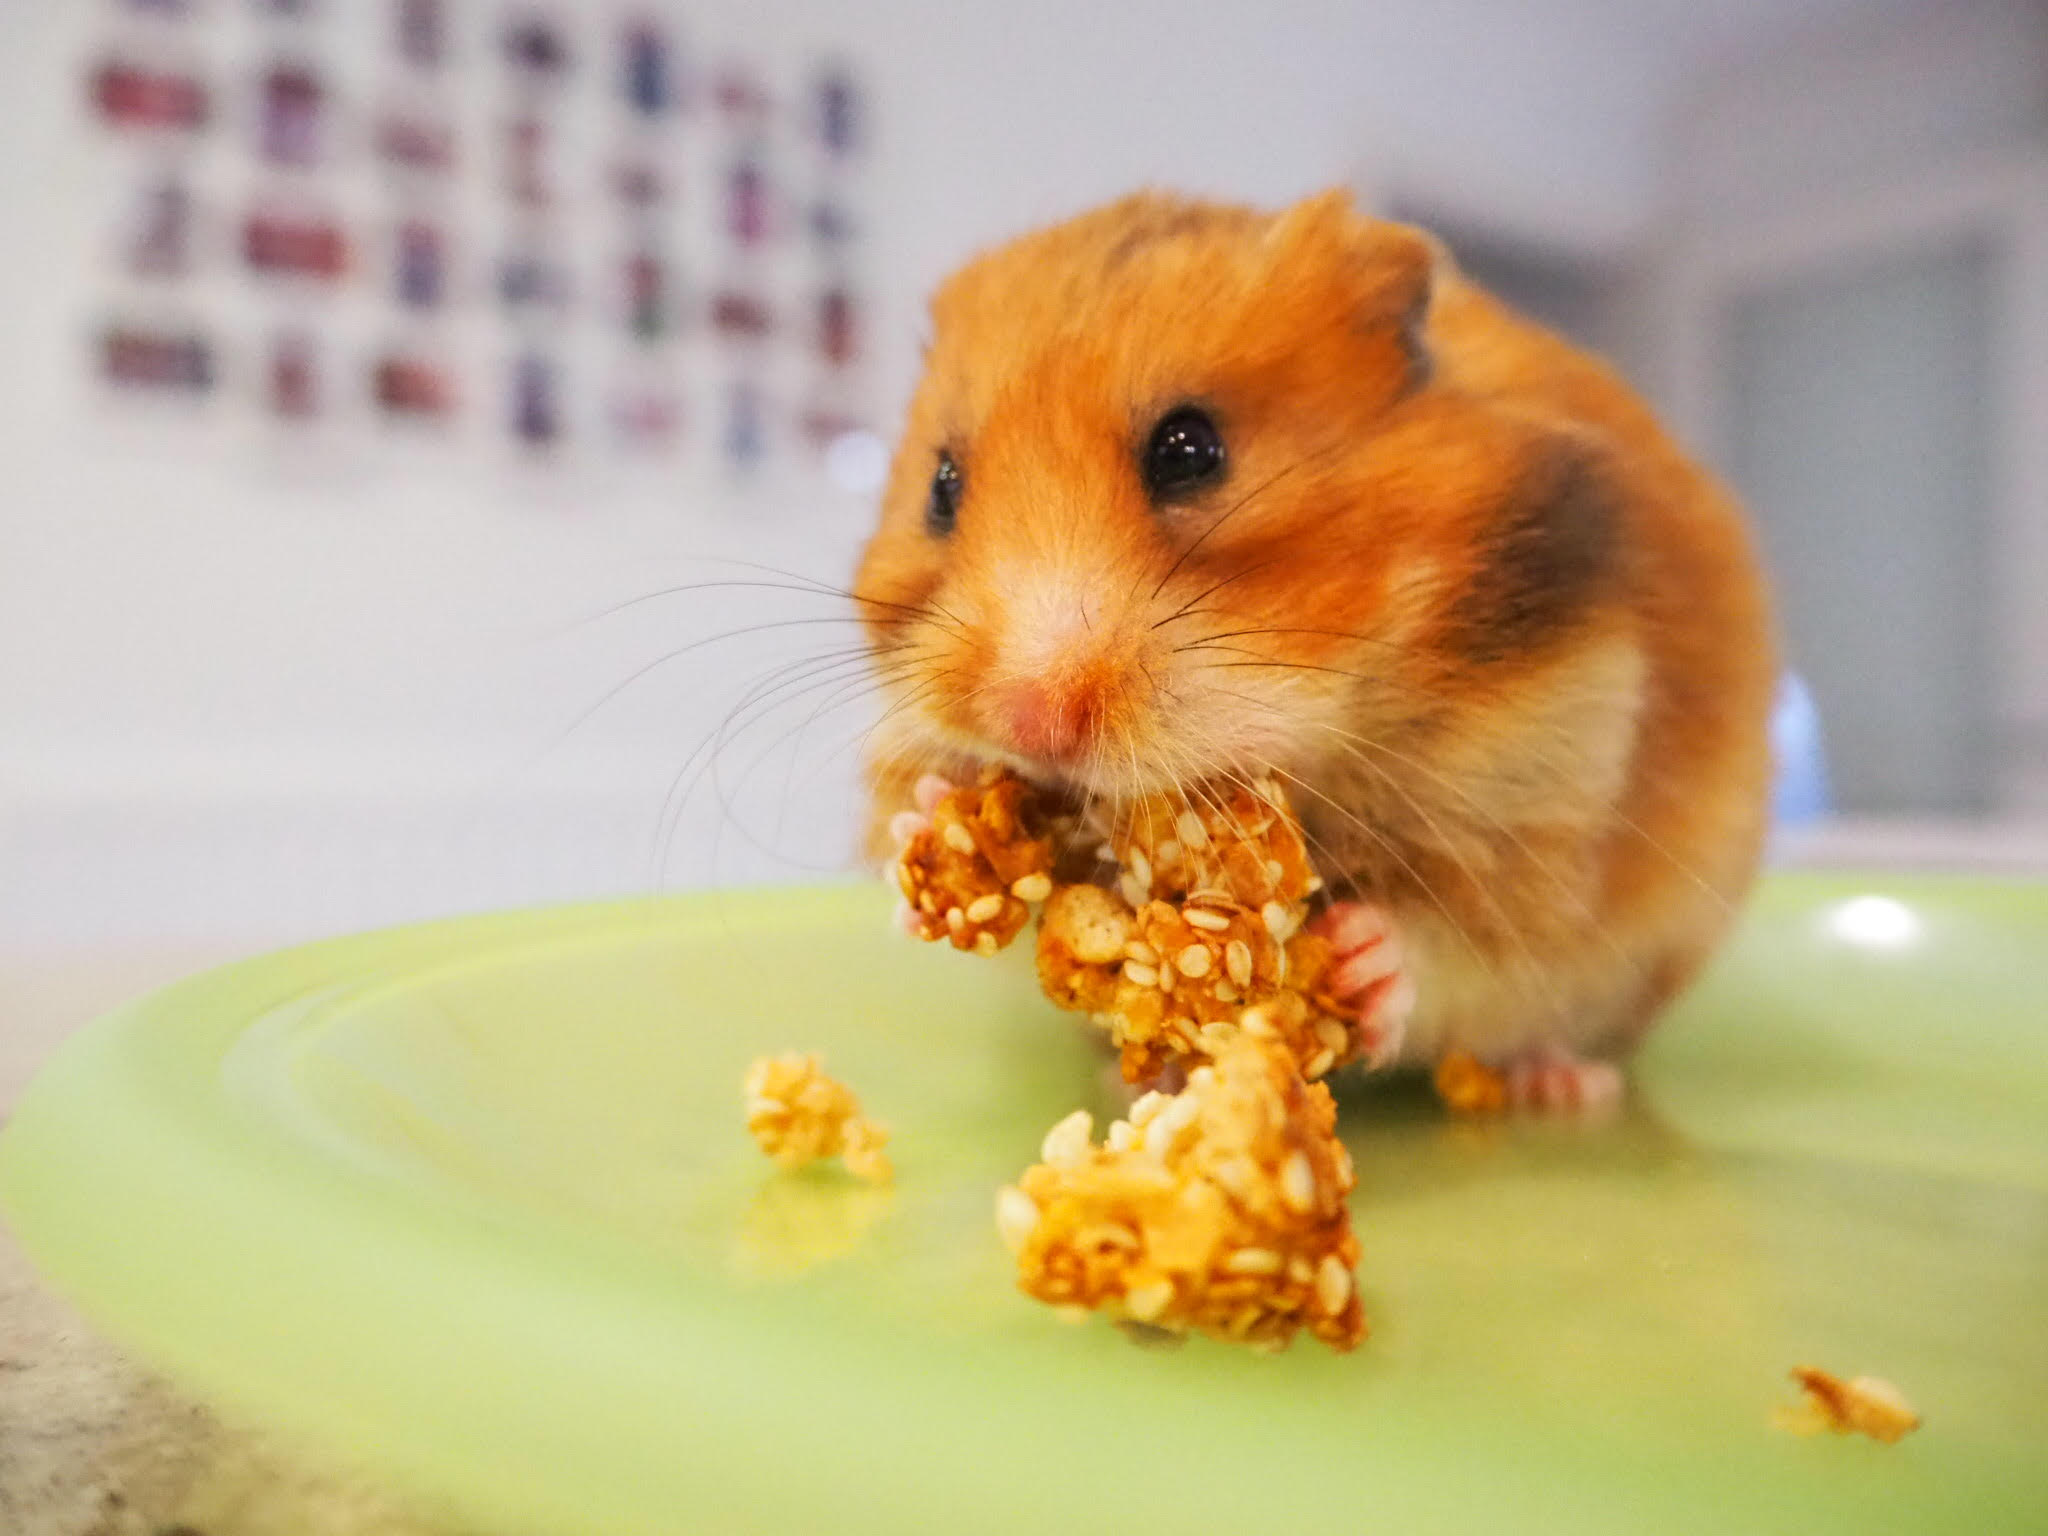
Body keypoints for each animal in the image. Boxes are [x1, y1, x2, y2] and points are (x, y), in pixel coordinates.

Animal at [847, 192, 1777, 1105]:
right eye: (941, 486)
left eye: (1190, 450)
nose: (1028, 722)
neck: (1326, 737)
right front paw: (931, 817)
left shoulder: (1554, 789)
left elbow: (1466, 940)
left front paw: (1361, 958)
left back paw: (1560, 1087)